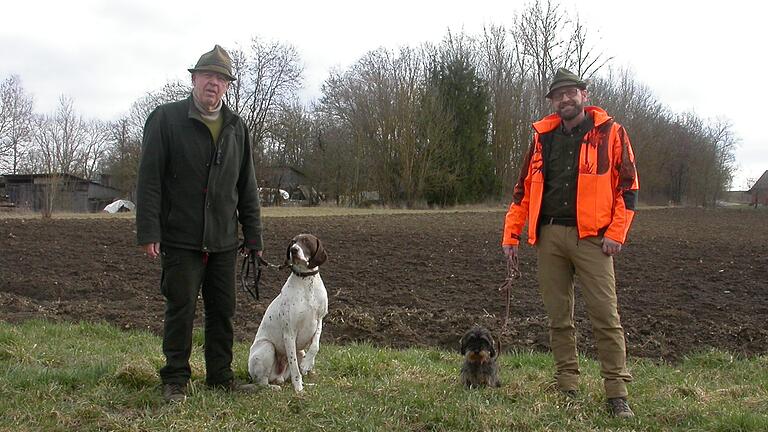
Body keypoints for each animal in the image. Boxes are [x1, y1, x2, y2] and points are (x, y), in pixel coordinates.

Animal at [249, 235, 328, 394]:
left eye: (306, 241)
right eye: (293, 242)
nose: (294, 250)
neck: (306, 281)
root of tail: (276, 377)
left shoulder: (319, 321)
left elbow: (315, 346)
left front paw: (307, 364)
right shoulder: (289, 333)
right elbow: (295, 368)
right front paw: (299, 390)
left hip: (300, 352)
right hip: (267, 347)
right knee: (262, 382)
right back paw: (274, 387)